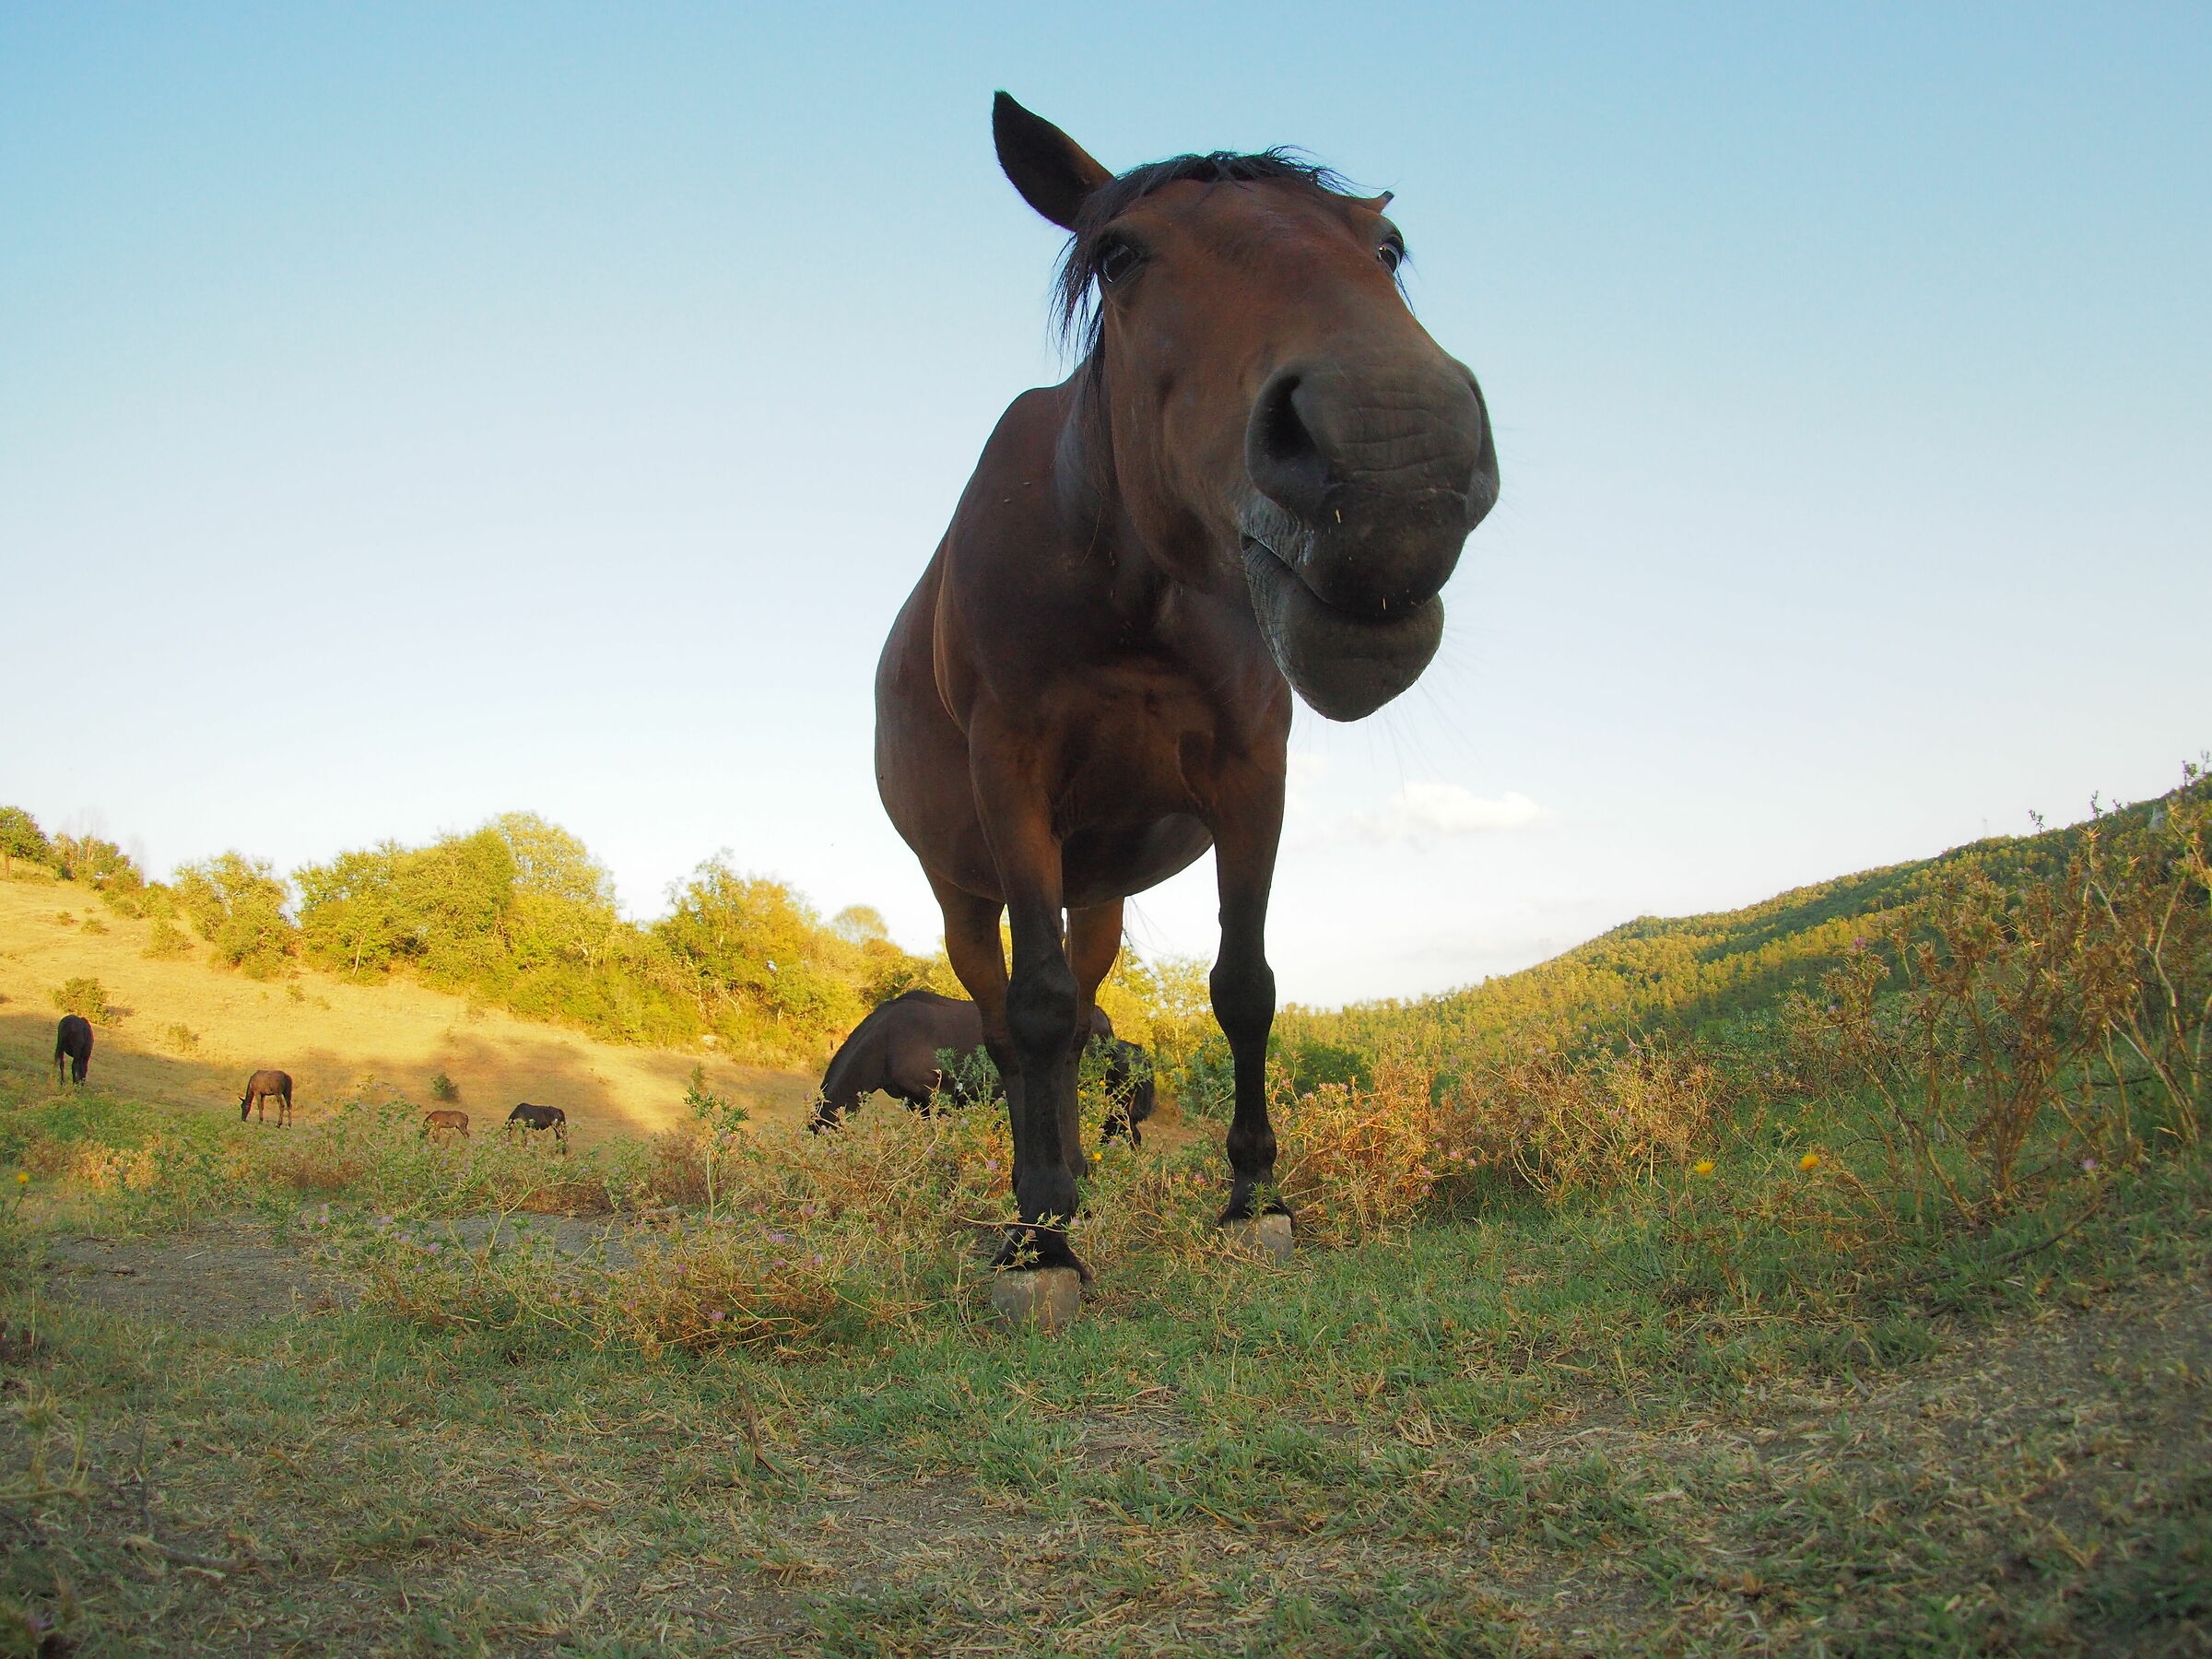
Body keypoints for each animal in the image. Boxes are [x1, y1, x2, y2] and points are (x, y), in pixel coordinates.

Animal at [874, 95, 1495, 1279]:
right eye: (1120, 255)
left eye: (1387, 249)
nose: (1397, 457)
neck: (1126, 592)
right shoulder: (1010, 770)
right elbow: (1031, 1009)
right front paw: (1037, 1239)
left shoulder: (1251, 771)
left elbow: (1242, 987)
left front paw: (1254, 1197)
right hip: (963, 891)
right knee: (1008, 1022)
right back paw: (1042, 1192)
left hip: (1098, 893)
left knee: (1080, 1016)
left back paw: (1080, 1174)